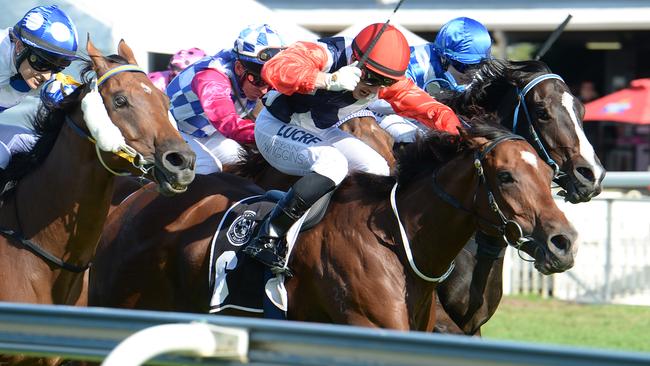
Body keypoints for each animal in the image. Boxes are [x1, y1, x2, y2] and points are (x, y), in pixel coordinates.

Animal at [88, 119, 576, 332]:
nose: (563, 242)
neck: (396, 241)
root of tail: (134, 200)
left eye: (546, 173)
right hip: (115, 301)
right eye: (507, 176)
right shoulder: (370, 327)